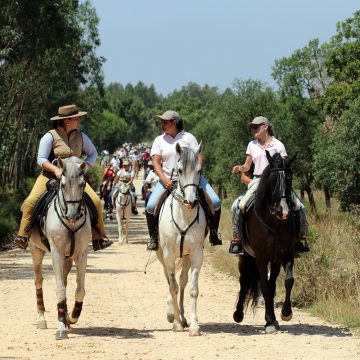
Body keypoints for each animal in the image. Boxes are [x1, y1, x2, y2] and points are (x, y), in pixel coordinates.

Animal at [29, 157, 91, 340]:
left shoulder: (81, 254)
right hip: (36, 251)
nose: (72, 215)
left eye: (83, 184)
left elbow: (79, 290)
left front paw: (71, 318)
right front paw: (61, 328)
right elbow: (60, 289)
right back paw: (41, 319)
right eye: (62, 185)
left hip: (67, 258)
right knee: (38, 281)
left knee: (64, 279)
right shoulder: (56, 253)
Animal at [157, 143, 207, 338]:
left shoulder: (196, 254)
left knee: (183, 280)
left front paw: (193, 326)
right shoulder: (169, 255)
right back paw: (172, 314)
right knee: (169, 279)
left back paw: (183, 317)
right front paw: (176, 323)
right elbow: (173, 287)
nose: (191, 202)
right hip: (162, 256)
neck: (184, 215)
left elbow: (193, 289)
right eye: (179, 170)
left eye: (199, 170)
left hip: (185, 256)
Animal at [233, 150, 298, 334]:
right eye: (273, 179)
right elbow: (264, 287)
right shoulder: (261, 258)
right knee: (244, 280)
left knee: (272, 282)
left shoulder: (287, 254)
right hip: (245, 257)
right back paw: (238, 314)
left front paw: (285, 313)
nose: (283, 211)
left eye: (289, 177)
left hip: (274, 260)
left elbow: (288, 281)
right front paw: (269, 321)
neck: (275, 224)